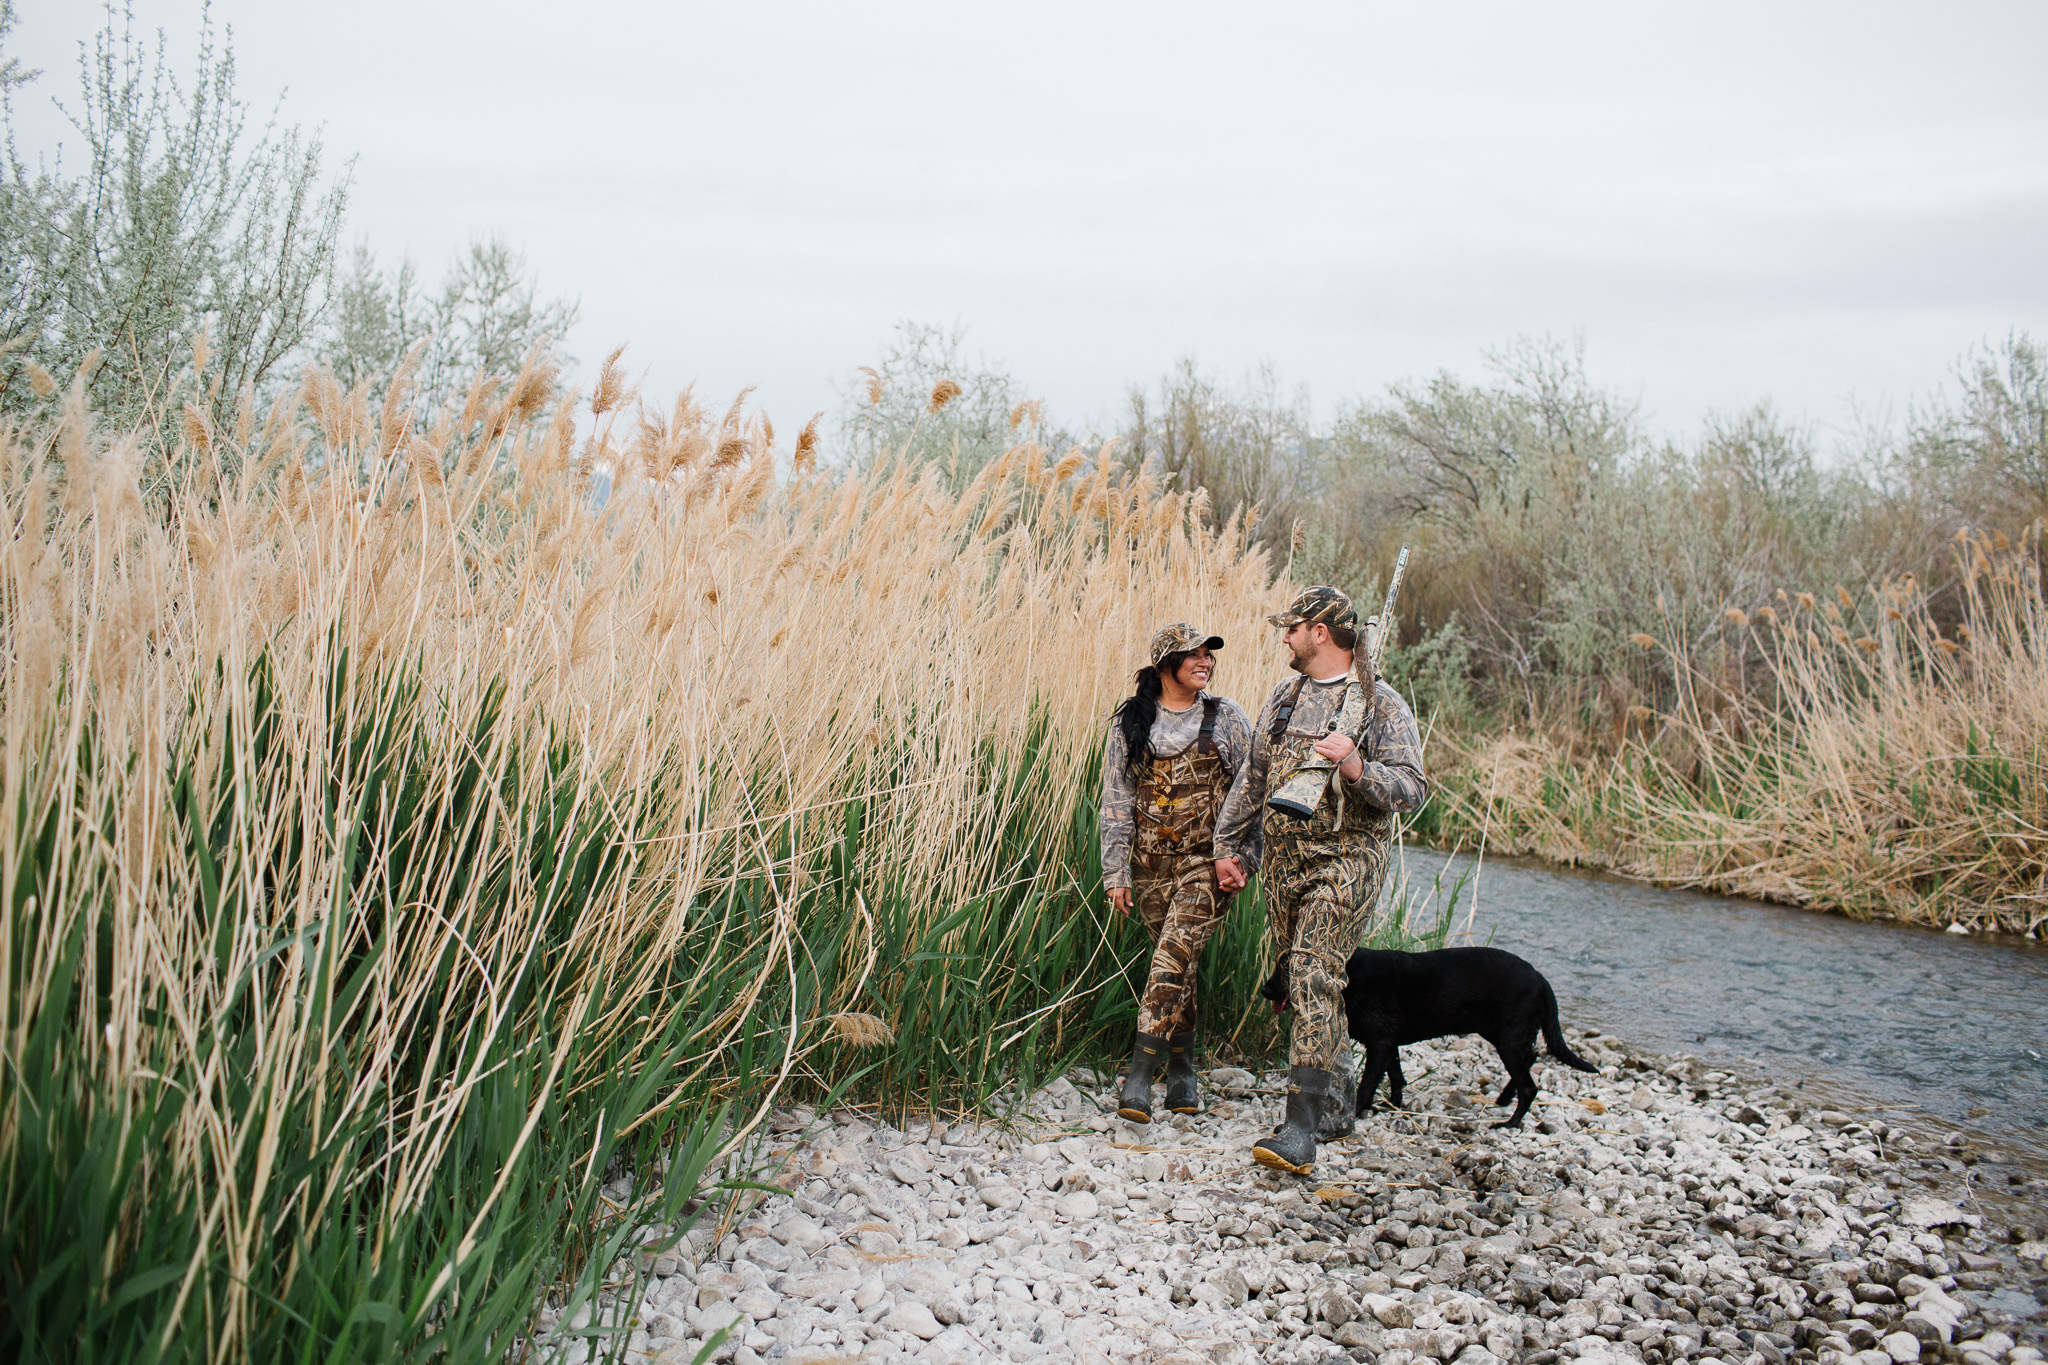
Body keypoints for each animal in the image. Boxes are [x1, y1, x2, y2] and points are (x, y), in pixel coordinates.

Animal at [1261, 949, 1597, 1129]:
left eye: (1285, 970)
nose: (1264, 990)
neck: (1347, 978)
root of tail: (1542, 980)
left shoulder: (1380, 1043)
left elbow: (1368, 1084)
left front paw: (1356, 1114)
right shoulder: (1389, 1044)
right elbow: (1396, 1077)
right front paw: (1394, 1105)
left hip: (1509, 1040)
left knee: (1530, 1086)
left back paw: (1509, 1123)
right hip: (1503, 1035)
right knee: (1531, 1060)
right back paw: (1503, 1099)